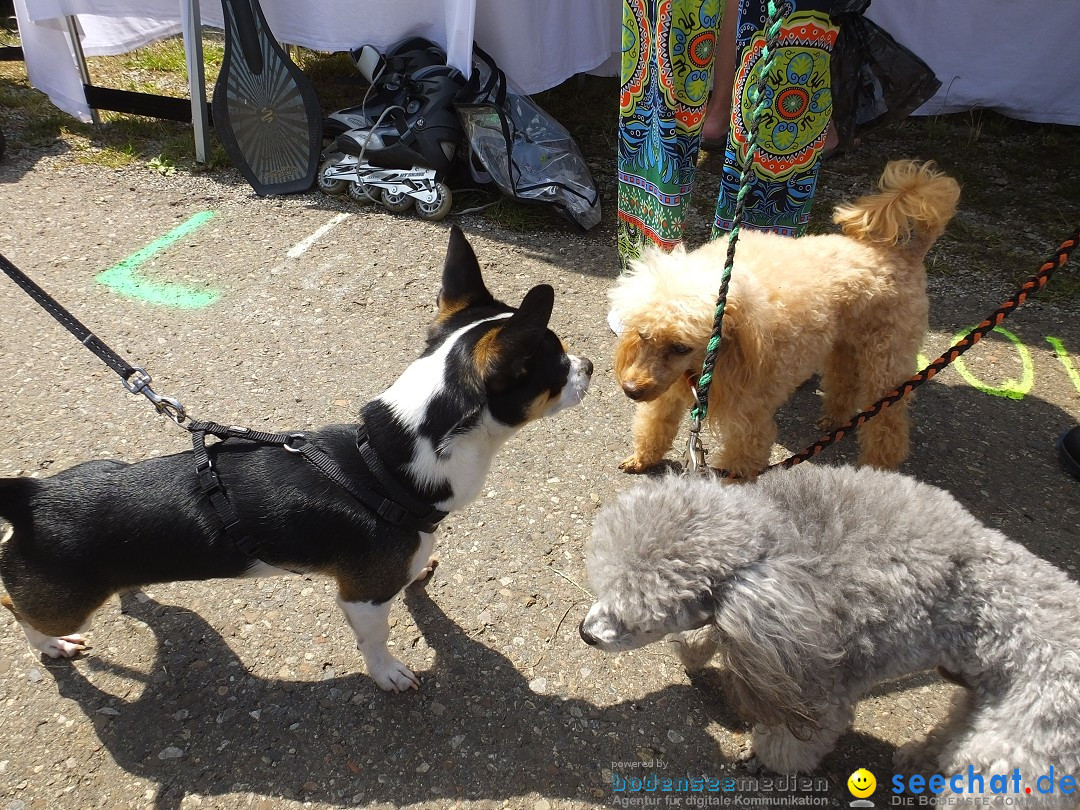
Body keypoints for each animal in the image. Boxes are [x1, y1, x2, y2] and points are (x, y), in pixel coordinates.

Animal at [0, 226, 591, 691]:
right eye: (558, 365)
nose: (587, 366)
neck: (384, 461)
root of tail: (31, 496)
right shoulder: (363, 599)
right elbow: (377, 641)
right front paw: (388, 673)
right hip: (64, 603)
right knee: (16, 608)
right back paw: (51, 646)